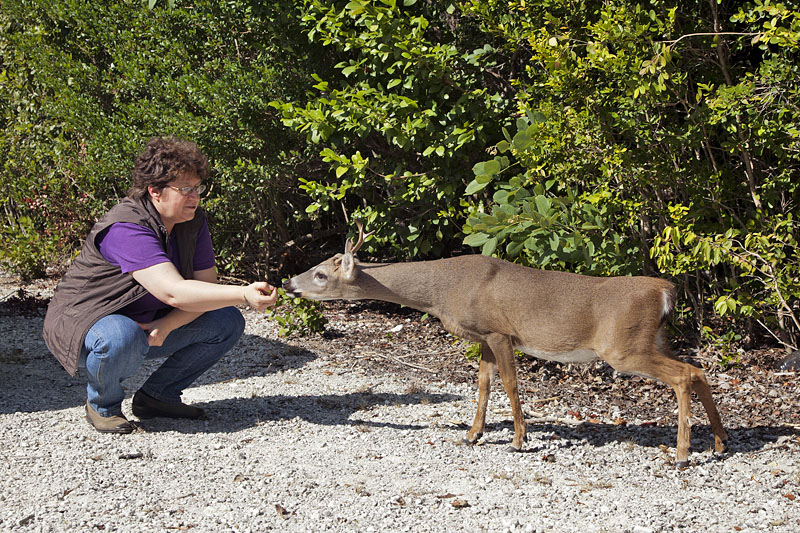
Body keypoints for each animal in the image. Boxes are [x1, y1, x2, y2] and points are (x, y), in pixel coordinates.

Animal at [284, 221, 728, 466]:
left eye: (321, 274)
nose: (288, 283)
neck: (442, 291)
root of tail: (665, 290)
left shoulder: (500, 332)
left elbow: (511, 385)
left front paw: (518, 440)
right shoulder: (482, 336)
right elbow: (482, 385)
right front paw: (473, 434)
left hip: (623, 346)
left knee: (683, 376)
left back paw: (682, 455)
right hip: (654, 337)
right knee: (699, 370)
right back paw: (720, 445)